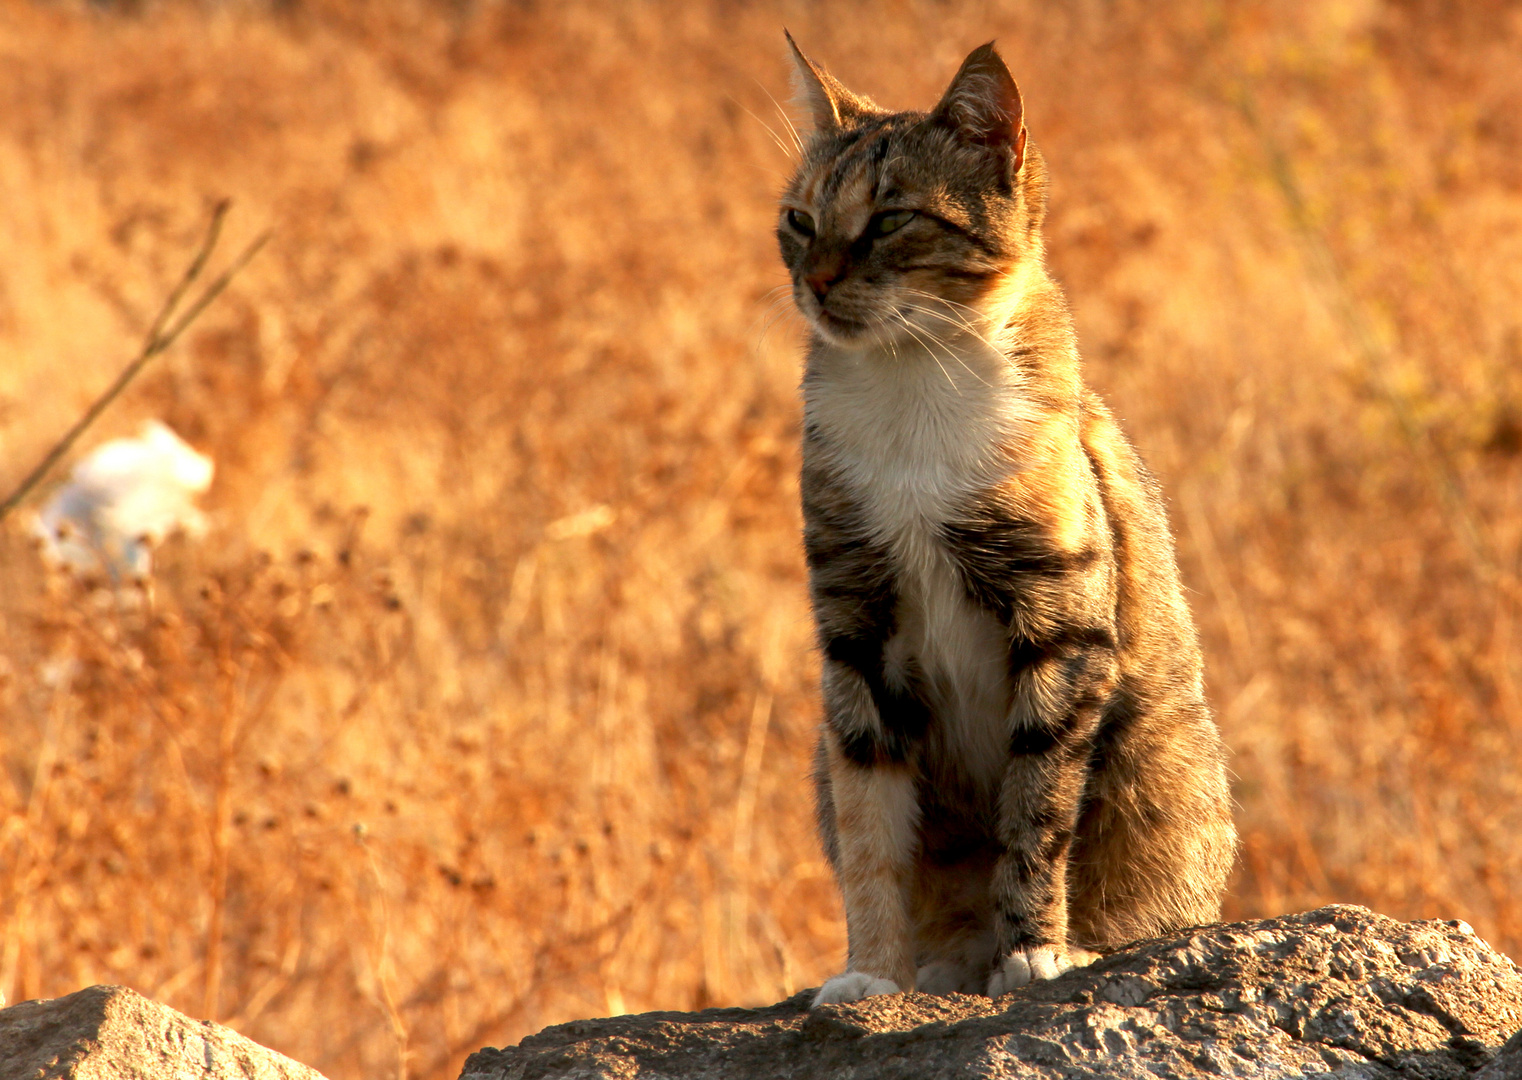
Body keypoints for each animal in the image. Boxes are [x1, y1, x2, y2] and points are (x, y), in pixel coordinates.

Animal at [773, 35, 1235, 1016]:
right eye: (798, 219)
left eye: (890, 220)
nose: (815, 281)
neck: (911, 383)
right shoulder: (854, 633)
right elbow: (871, 828)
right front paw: (875, 973)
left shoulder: (1060, 629)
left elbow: (1036, 807)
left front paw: (1033, 952)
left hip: (1166, 768)